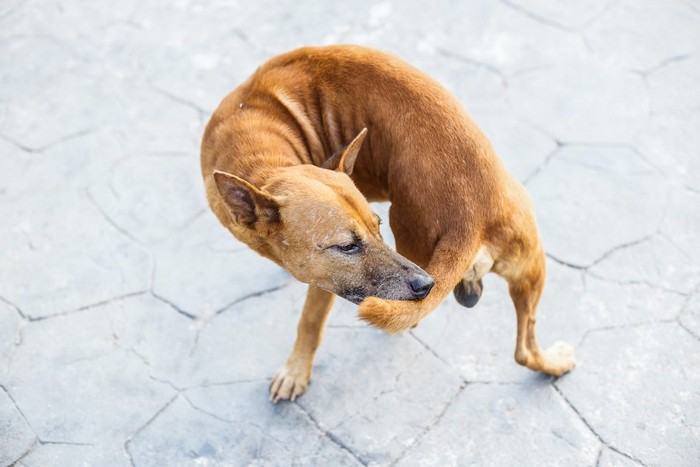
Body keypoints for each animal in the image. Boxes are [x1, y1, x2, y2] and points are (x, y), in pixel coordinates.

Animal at [201, 44, 576, 402]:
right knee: (524, 349)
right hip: (528, 267)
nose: (426, 285)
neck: (262, 155)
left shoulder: (325, 283)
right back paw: (551, 362)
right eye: (347, 245)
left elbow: (308, 322)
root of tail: (472, 213)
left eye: (377, 227)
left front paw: (295, 371)